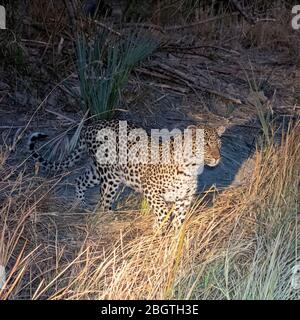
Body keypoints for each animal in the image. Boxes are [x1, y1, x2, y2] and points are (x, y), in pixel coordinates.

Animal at [28, 119, 225, 230]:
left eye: (219, 144)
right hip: (110, 177)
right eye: (205, 144)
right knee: (103, 202)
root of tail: (91, 126)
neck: (192, 168)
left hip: (98, 172)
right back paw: (109, 220)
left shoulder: (184, 199)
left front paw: (172, 243)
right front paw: (158, 229)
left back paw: (81, 205)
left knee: (80, 180)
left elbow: (179, 222)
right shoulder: (151, 189)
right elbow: (162, 212)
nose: (217, 157)